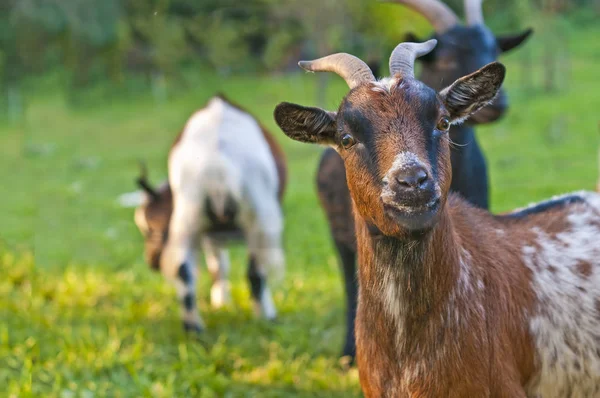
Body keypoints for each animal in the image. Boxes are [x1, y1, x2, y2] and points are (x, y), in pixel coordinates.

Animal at [129, 94, 288, 332]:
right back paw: (266, 316)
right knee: (256, 269)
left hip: (188, 215)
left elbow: (217, 265)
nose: (152, 261)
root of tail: (218, 161)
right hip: (258, 218)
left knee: (183, 269)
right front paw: (222, 301)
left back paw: (193, 327)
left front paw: (220, 301)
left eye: (147, 227)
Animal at [316, 0, 532, 360]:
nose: (499, 104)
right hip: (339, 234)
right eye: (447, 56)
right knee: (349, 280)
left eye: (494, 49)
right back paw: (347, 350)